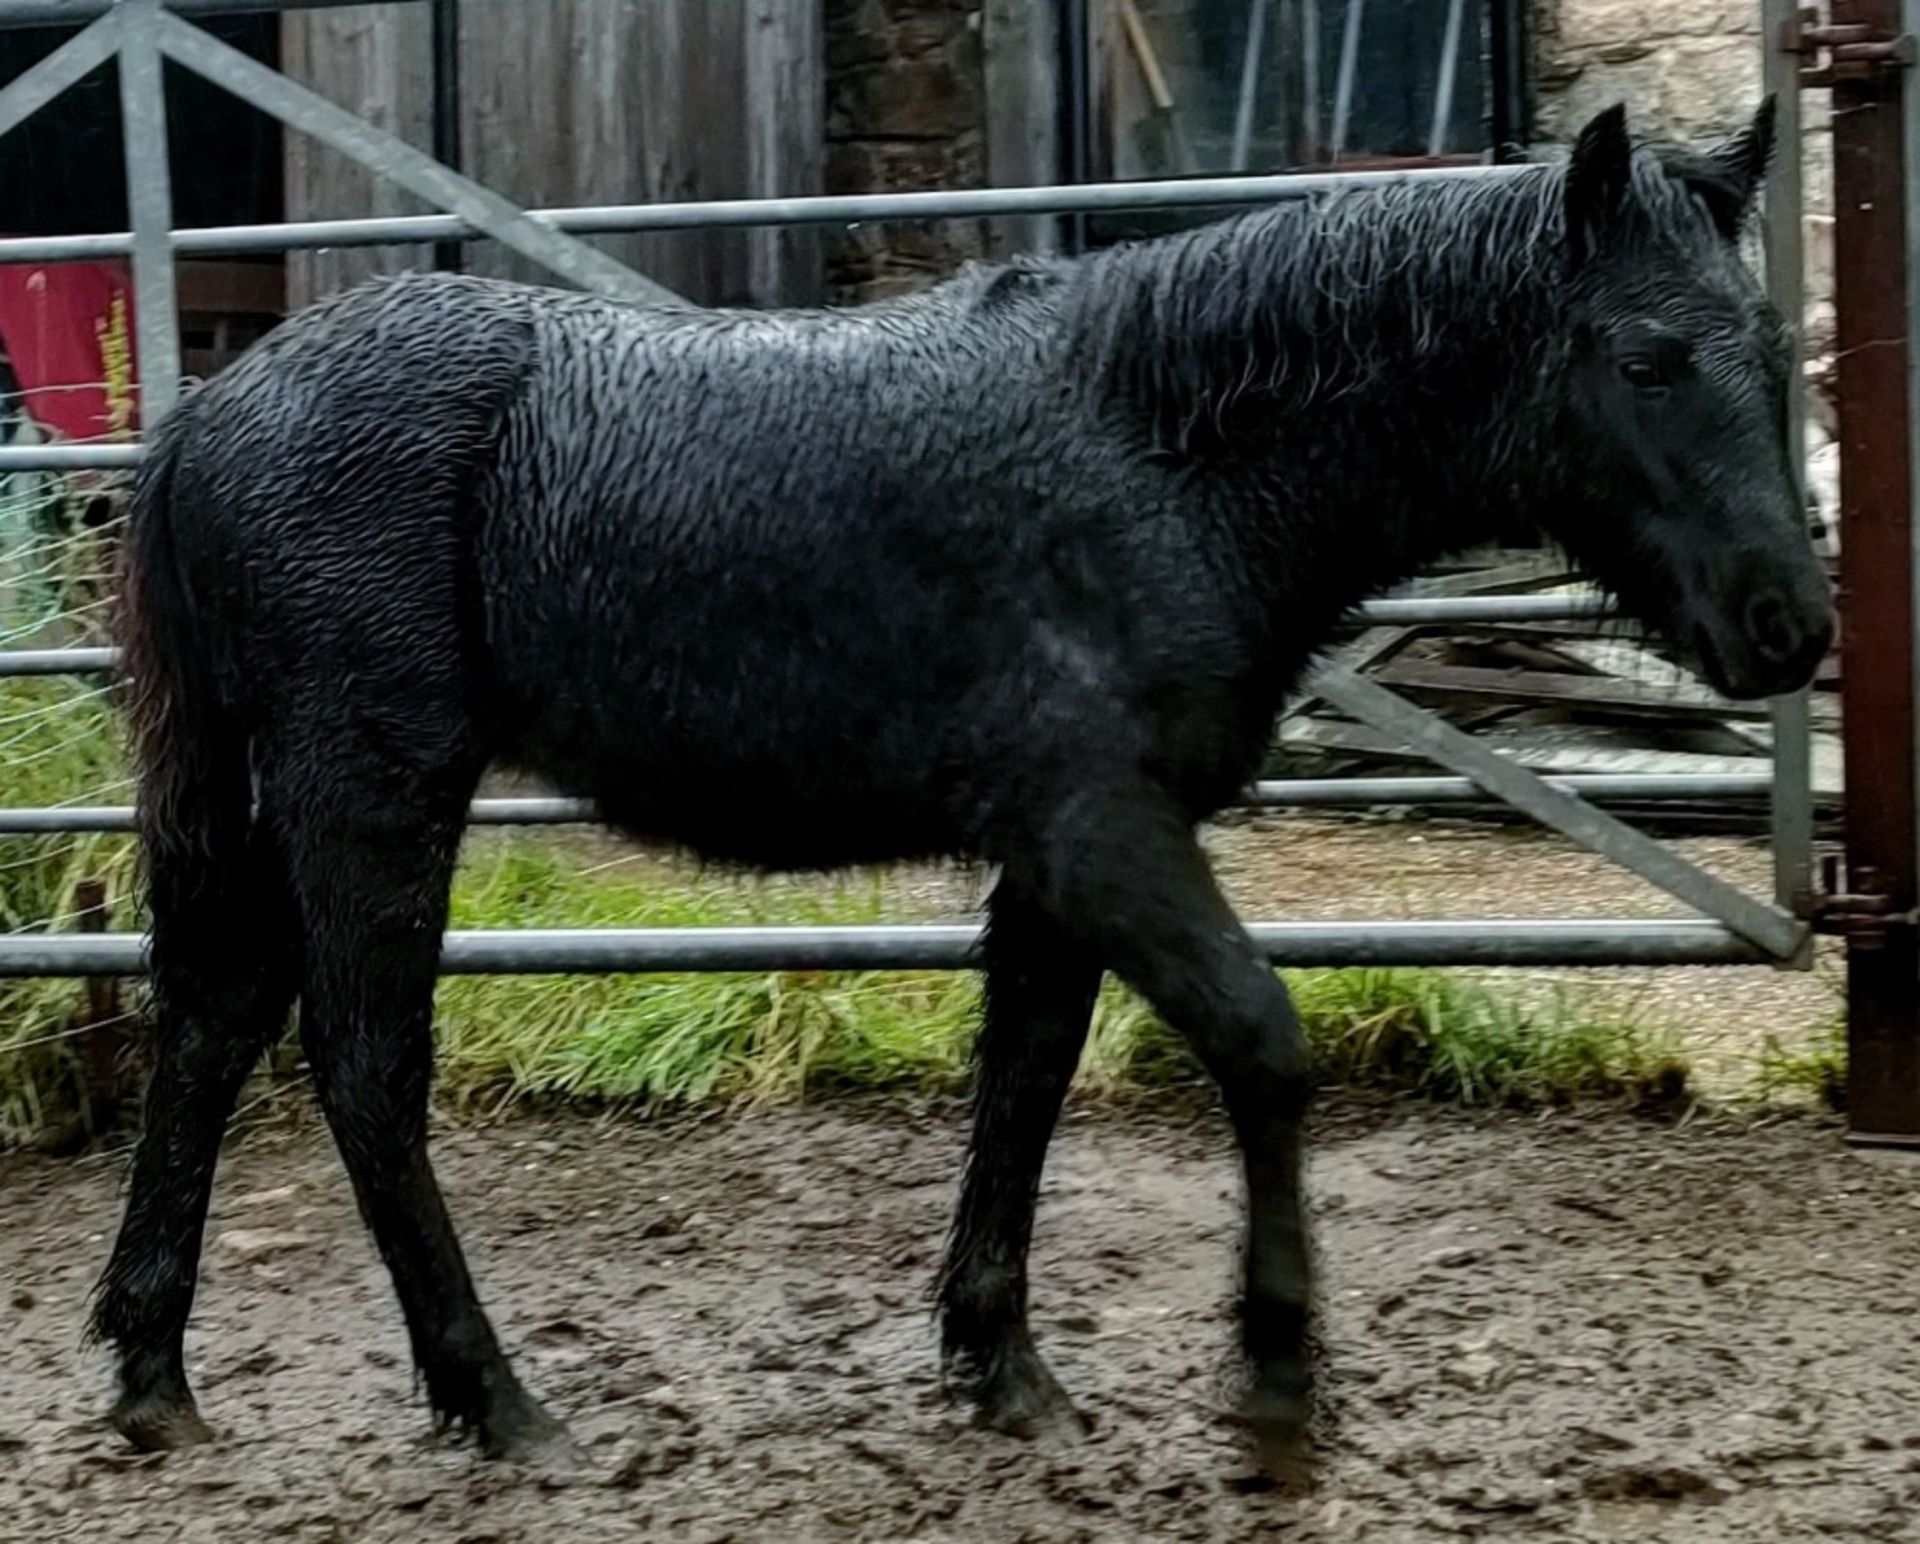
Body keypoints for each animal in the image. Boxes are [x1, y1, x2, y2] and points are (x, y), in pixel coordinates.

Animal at [90, 102, 1827, 1474]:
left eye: (1766, 349)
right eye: (1647, 359)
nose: (1788, 625)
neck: (1149, 450)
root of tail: (208, 420)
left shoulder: (1059, 858)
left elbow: (1027, 1083)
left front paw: (1002, 1364)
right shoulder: (1098, 825)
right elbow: (1259, 1043)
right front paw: (1274, 1384)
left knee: (213, 1025)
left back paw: (153, 1374)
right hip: (374, 785)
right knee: (363, 1067)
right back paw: (495, 1399)